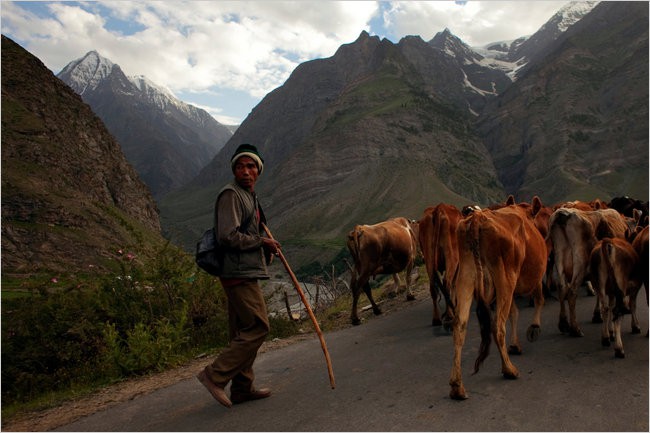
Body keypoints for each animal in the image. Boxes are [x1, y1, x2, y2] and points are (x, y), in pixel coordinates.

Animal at [448, 204, 544, 400]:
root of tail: (477, 218)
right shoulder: (535, 279)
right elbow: (538, 299)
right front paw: (534, 327)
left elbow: (514, 312)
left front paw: (515, 344)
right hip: (505, 277)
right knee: (498, 325)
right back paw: (509, 370)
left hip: (466, 277)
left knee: (459, 325)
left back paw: (457, 386)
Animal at [548, 208, 628, 336]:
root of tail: (563, 213)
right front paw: (598, 315)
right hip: (579, 261)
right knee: (572, 292)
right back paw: (575, 329)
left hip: (559, 258)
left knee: (561, 288)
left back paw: (563, 324)